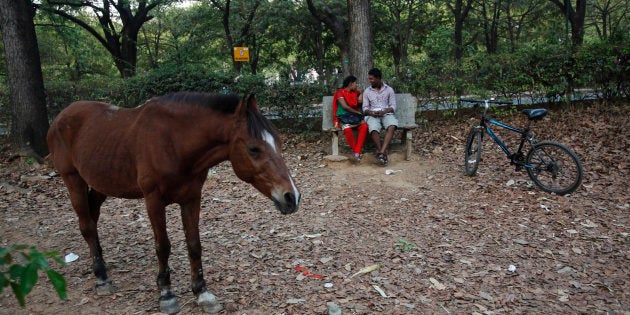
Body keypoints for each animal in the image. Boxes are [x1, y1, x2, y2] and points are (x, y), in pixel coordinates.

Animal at [47, 92, 298, 314]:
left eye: (278, 142)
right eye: (253, 148)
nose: (292, 197)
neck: (174, 142)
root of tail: (60, 116)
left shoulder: (191, 198)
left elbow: (194, 245)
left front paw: (202, 293)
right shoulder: (153, 200)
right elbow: (163, 246)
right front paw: (166, 294)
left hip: (101, 184)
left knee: (93, 219)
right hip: (73, 179)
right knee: (87, 226)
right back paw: (101, 277)